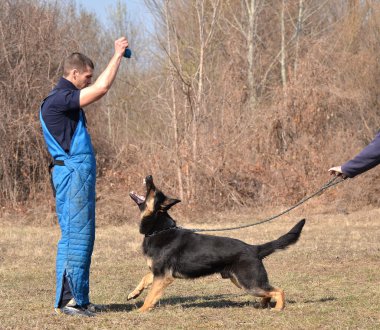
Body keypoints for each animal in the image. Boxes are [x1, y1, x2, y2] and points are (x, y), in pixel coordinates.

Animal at [129, 175, 304, 312]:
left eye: (153, 190)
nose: (149, 176)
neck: (159, 229)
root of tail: (254, 249)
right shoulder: (157, 273)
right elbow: (145, 278)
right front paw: (134, 293)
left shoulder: (163, 277)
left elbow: (150, 296)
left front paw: (140, 311)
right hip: (243, 283)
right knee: (268, 293)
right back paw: (262, 306)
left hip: (250, 283)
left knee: (279, 291)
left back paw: (278, 308)